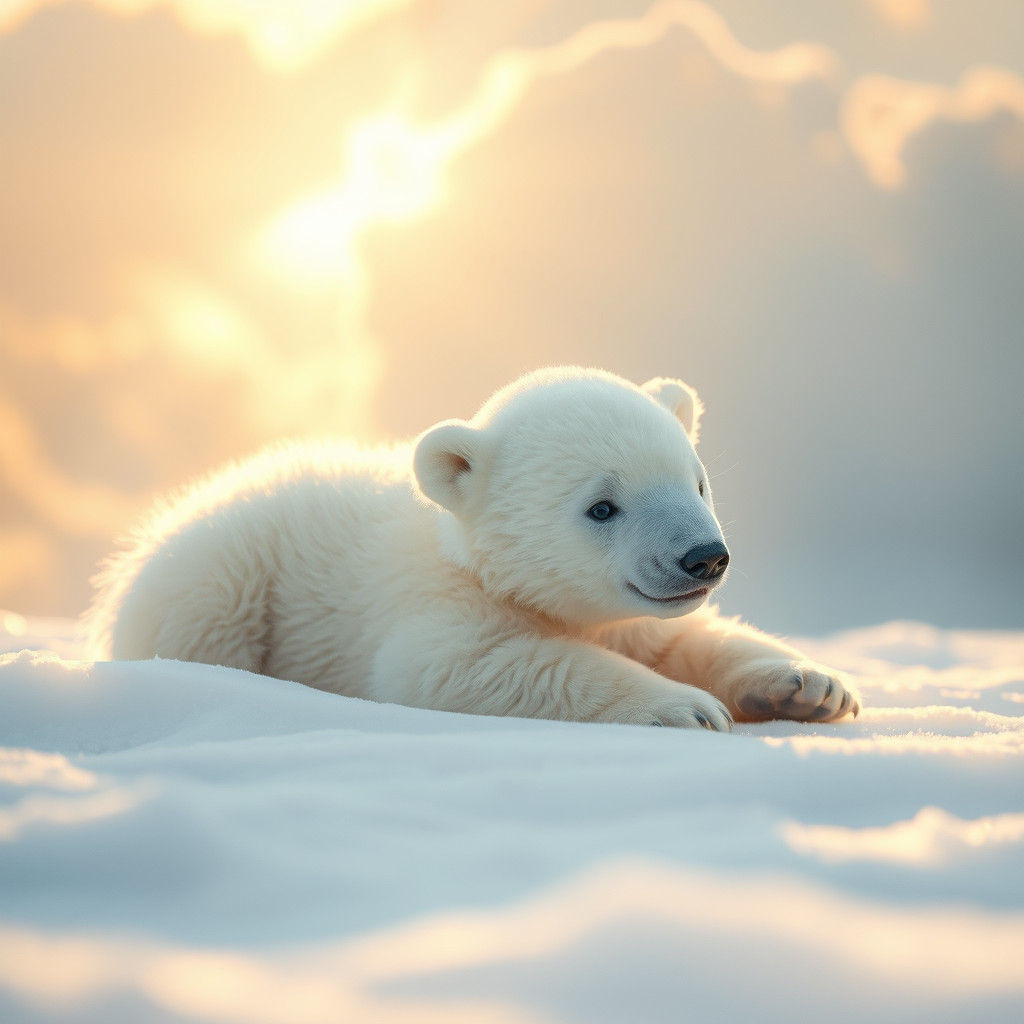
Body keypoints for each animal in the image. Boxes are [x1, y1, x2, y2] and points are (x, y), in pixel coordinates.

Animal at [87, 367, 859, 730]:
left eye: (696, 481)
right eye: (601, 507)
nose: (704, 557)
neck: (463, 545)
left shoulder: (635, 616)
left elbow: (683, 637)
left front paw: (811, 685)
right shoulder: (432, 605)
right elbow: (465, 665)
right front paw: (686, 708)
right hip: (220, 574)